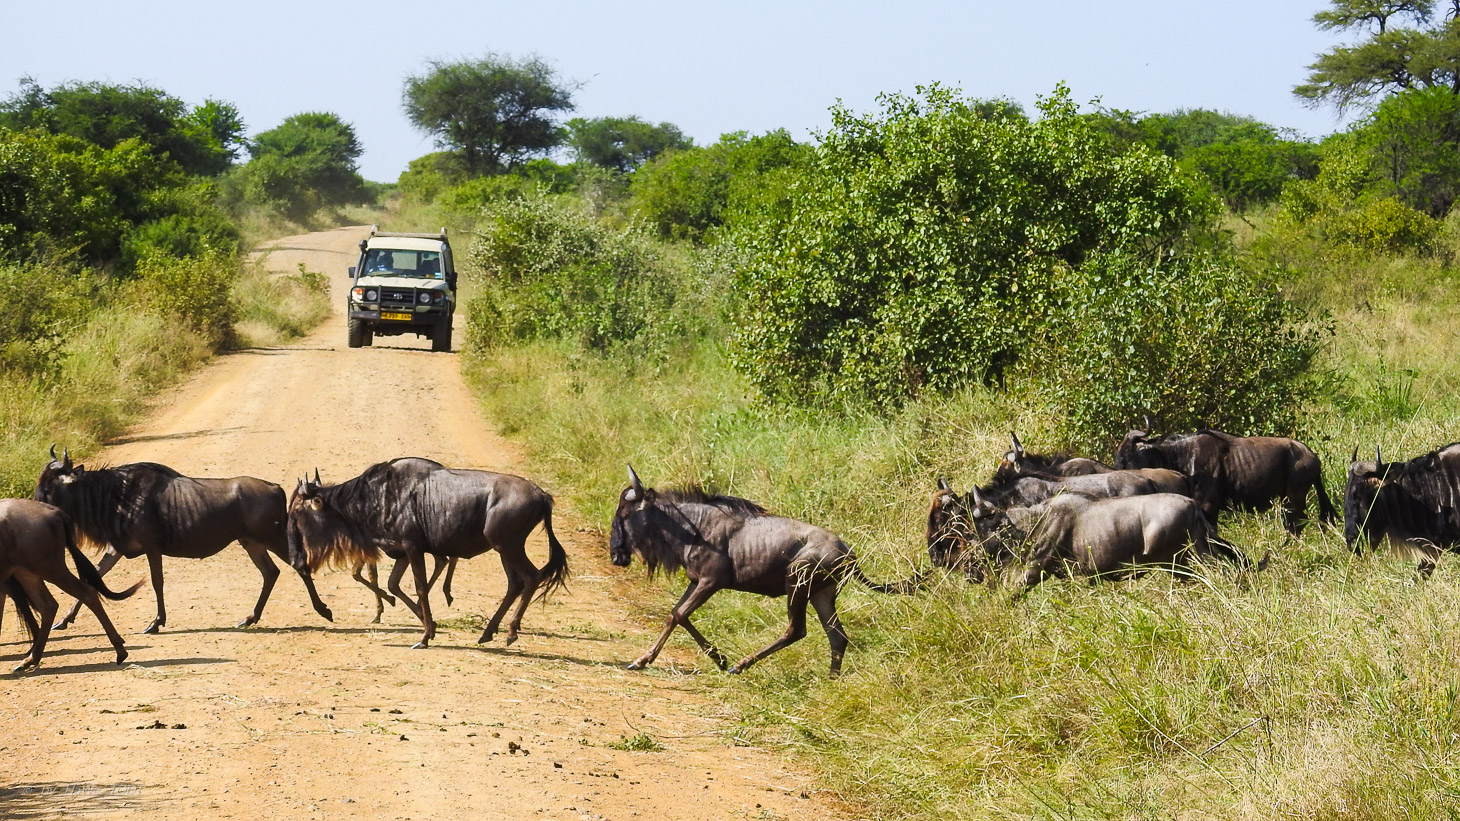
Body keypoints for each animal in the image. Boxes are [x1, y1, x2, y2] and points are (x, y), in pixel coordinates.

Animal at [1, 498, 143, 672]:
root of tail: (53, 511)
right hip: (28, 573)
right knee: (48, 605)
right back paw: (31, 658)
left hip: (51, 569)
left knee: (86, 593)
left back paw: (120, 650)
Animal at [35, 447, 333, 633]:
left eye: (49, 487)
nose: (35, 508)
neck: (117, 495)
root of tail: (275, 488)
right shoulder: (116, 548)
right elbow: (92, 578)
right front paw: (64, 621)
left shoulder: (151, 548)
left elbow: (157, 582)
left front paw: (156, 623)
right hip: (251, 543)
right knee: (271, 572)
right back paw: (249, 618)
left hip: (271, 538)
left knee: (298, 564)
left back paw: (324, 611)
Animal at [286, 458, 569, 649]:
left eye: (297, 511)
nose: (294, 556)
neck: (376, 497)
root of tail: (542, 495)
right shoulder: (401, 551)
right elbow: (394, 585)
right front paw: (428, 626)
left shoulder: (413, 548)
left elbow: (420, 587)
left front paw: (424, 636)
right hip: (505, 550)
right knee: (515, 583)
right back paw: (488, 633)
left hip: (508, 546)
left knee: (531, 578)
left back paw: (510, 632)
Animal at [610, 466, 917, 677]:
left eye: (624, 514)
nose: (616, 555)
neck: (693, 528)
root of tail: (848, 552)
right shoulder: (696, 581)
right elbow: (674, 614)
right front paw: (641, 660)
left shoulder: (711, 581)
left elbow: (680, 614)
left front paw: (721, 659)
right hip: (822, 594)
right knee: (837, 636)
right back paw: (832, 680)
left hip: (797, 585)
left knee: (796, 630)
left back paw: (739, 666)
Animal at [1114, 429, 1336, 534]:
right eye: (1118, 457)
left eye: (1127, 457)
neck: (1182, 456)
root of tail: (1312, 455)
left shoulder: (1208, 507)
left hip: (1294, 499)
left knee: (1297, 525)